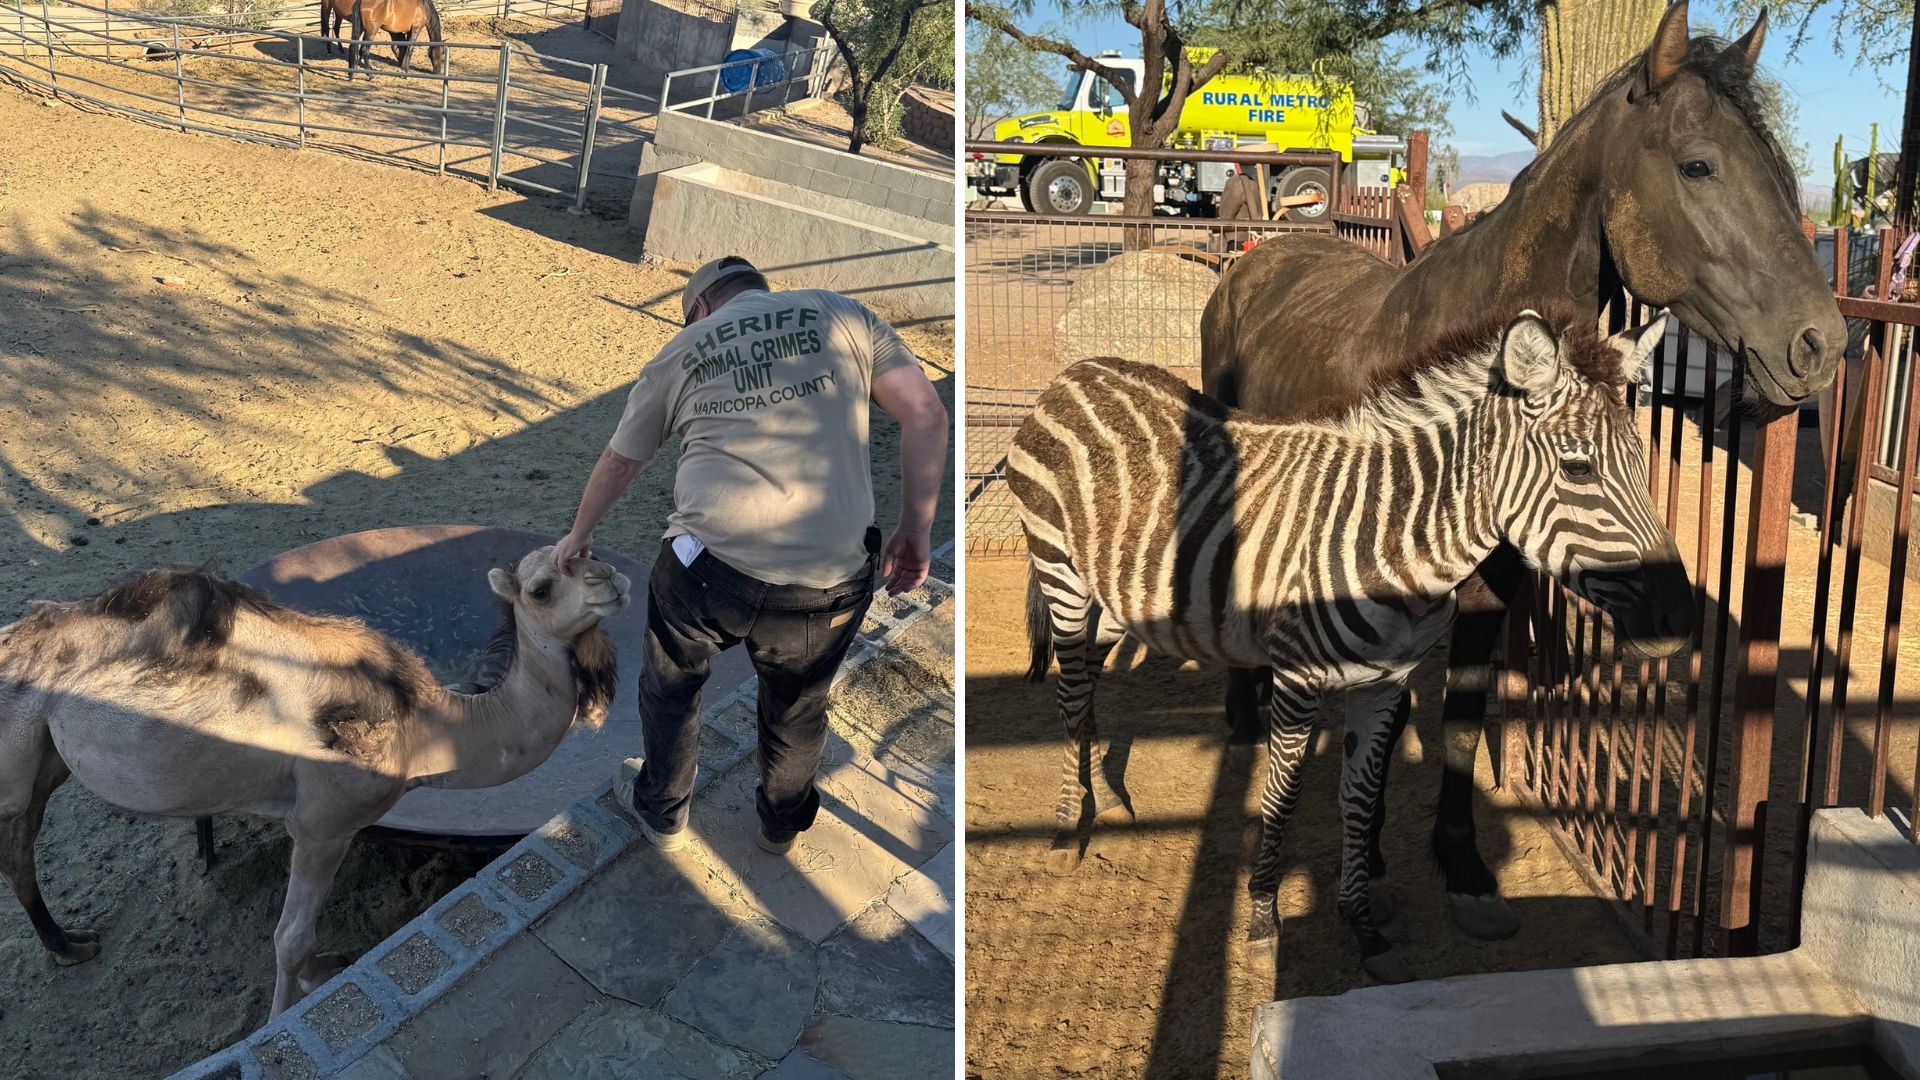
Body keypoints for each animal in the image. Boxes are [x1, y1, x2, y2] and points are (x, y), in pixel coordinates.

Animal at [0, 545, 626, 1016]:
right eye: (541, 587)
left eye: (589, 553)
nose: (613, 580)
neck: (427, 725)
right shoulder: (325, 821)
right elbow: (289, 938)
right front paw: (280, 1021)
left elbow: (301, 942)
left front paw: (321, 971)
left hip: (45, 760)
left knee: (21, 850)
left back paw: (71, 945)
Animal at [1007, 308, 1694, 982]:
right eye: (1579, 468)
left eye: (1642, 462)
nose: (1679, 621)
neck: (1393, 543)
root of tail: (1076, 372)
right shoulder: (1297, 680)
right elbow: (1279, 798)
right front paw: (1264, 923)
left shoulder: (1385, 681)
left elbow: (1359, 800)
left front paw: (1363, 926)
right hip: (1063, 575)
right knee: (1070, 696)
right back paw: (1067, 833)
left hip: (1120, 596)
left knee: (1088, 686)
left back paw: (1103, 798)